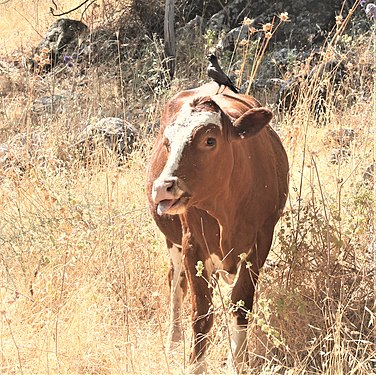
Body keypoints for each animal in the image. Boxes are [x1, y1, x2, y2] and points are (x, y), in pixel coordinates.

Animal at [145, 82, 290, 374]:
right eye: (168, 143)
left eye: (209, 140)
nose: (163, 187)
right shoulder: (192, 244)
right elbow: (201, 312)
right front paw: (194, 365)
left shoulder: (261, 240)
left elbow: (241, 304)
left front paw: (238, 362)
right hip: (173, 242)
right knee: (175, 283)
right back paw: (174, 342)